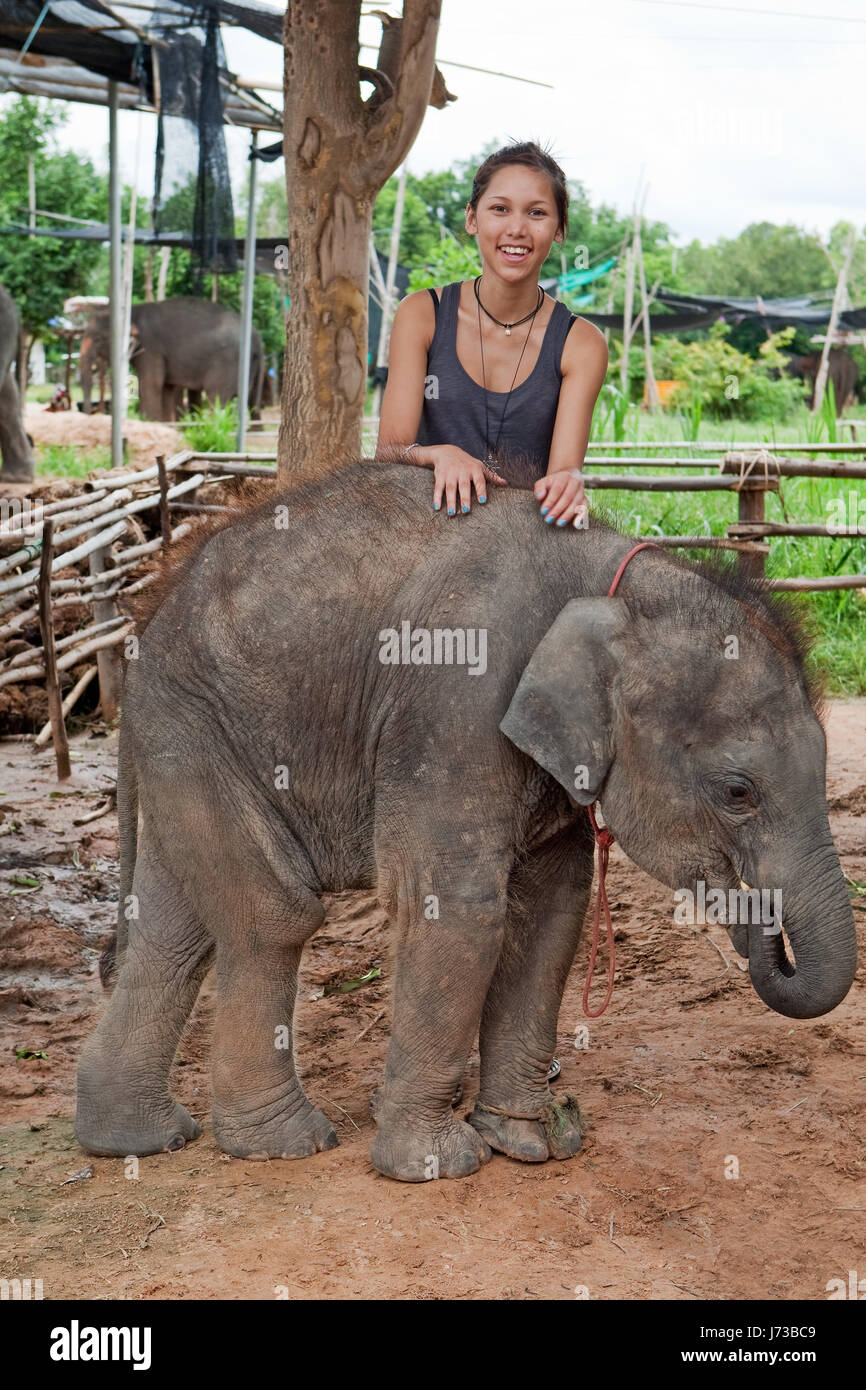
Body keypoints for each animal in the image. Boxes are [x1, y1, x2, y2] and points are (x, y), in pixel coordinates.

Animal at [80, 297, 264, 417]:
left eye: (98, 339)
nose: (89, 413)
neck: (133, 309)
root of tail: (256, 335)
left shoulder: (151, 347)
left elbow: (152, 383)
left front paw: (150, 422)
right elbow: (166, 387)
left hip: (227, 364)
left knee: (217, 397)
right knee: (251, 400)